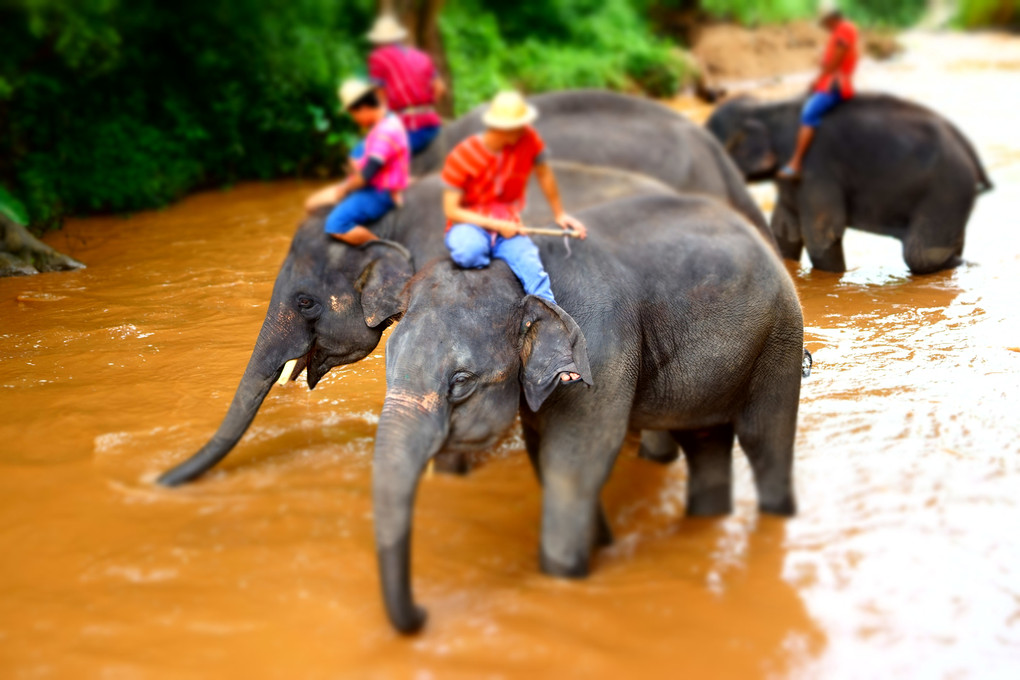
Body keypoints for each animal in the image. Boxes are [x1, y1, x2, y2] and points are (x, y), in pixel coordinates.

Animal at [369, 190, 803, 632]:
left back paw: (774, 513)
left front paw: (564, 574)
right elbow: (543, 455)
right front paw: (601, 544)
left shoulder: (598, 354)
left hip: (780, 337)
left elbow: (573, 461)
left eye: (460, 383)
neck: (520, 280)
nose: (423, 616)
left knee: (764, 438)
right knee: (704, 439)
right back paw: (705, 521)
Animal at [705, 93, 991, 273]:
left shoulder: (815, 167)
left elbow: (821, 233)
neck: (764, 109)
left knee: (919, 255)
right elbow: (784, 231)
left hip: (947, 188)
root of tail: (970, 151)